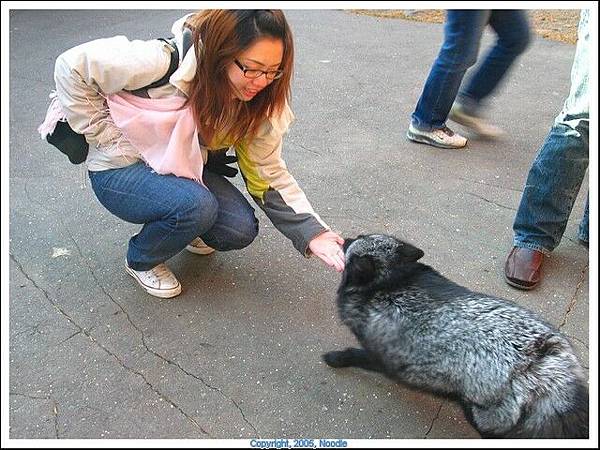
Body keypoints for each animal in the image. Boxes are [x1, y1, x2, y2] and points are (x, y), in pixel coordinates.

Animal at [326, 234, 588, 438]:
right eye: (360, 236)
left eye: (353, 243)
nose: (344, 238)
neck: (389, 282)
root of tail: (540, 361)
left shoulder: (380, 355)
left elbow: (355, 355)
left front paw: (336, 359)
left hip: (488, 415)